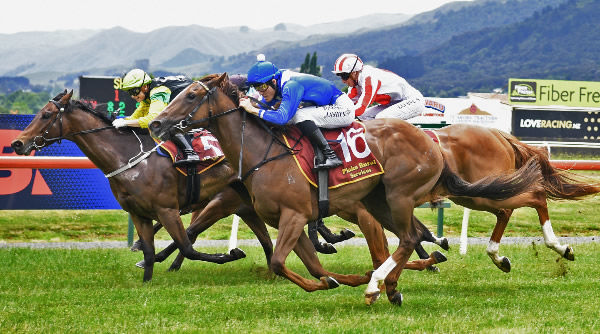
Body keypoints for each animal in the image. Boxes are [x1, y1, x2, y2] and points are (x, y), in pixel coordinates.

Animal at [149, 73, 540, 306]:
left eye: (192, 95)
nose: (155, 123)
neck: (263, 153)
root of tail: (432, 142)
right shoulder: (288, 219)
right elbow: (313, 266)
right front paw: (343, 279)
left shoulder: (295, 215)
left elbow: (280, 262)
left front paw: (357, 278)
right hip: (386, 201)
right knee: (413, 235)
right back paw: (392, 284)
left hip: (406, 195)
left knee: (416, 235)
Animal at [432, 124, 600, 272]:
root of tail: (500, 135)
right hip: (472, 194)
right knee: (506, 211)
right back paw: (500, 258)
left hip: (483, 192)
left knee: (532, 198)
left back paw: (557, 247)